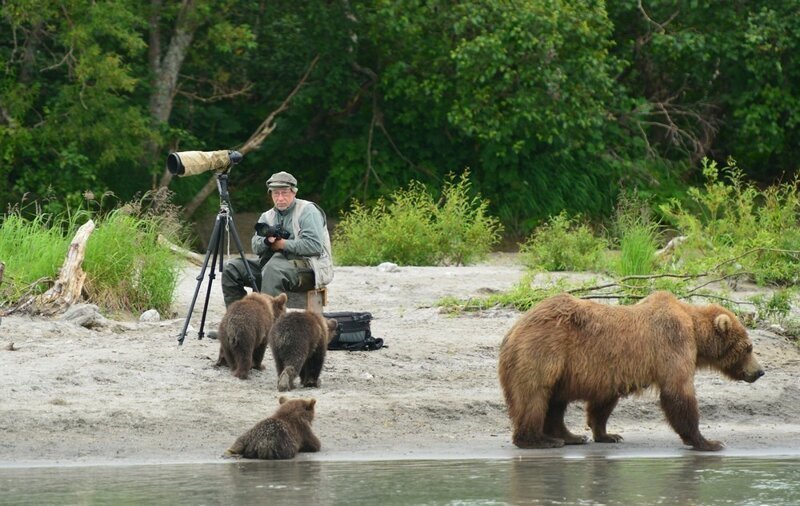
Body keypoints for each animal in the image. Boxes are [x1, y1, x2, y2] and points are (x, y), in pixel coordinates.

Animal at [496, 290, 764, 452]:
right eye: (749, 347)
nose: (760, 371)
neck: (695, 332)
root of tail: (512, 331)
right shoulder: (673, 343)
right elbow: (678, 392)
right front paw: (708, 441)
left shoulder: (611, 371)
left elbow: (603, 403)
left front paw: (608, 434)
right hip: (542, 352)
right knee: (534, 396)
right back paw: (540, 440)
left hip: (559, 366)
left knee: (555, 401)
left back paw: (571, 436)